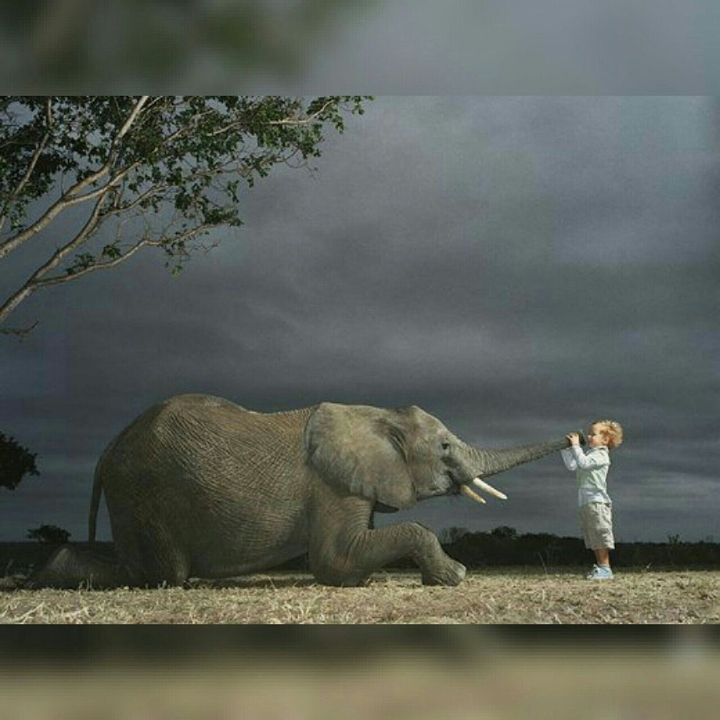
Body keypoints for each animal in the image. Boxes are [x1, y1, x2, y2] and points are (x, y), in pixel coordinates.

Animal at [31, 394, 579, 588]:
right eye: (444, 446)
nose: (580, 433)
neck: (375, 415)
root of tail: (107, 450)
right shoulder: (331, 483)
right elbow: (333, 562)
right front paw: (456, 576)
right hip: (144, 495)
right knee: (160, 574)